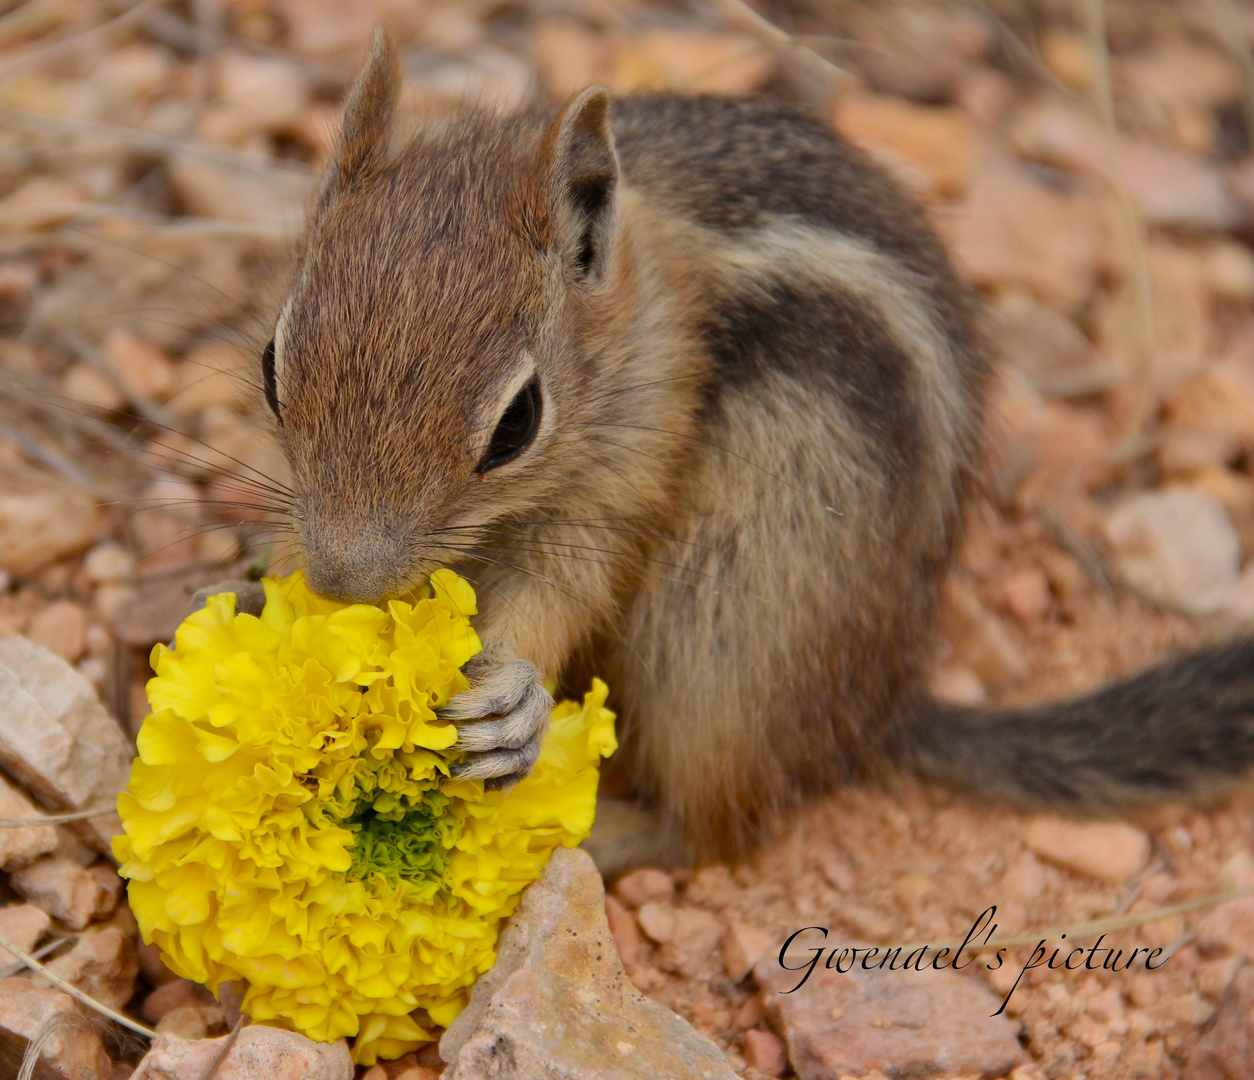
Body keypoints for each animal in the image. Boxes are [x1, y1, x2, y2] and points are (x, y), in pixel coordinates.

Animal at [223, 31, 1254, 878]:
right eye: (273, 366)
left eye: (517, 423)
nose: (345, 582)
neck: (631, 295)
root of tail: (871, 711)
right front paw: (262, 587)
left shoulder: (638, 444)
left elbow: (573, 578)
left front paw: (513, 694)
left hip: (730, 625)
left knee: (719, 830)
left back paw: (595, 838)